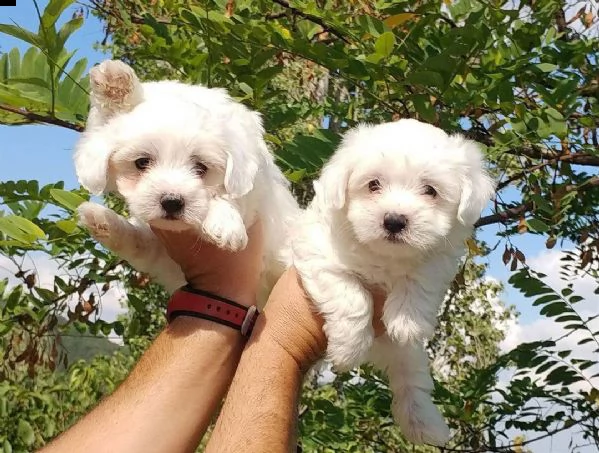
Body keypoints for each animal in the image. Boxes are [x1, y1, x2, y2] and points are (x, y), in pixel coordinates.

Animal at [75, 60, 300, 300]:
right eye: (142, 163)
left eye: (201, 168)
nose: (172, 202)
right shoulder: (160, 254)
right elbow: (138, 242)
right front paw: (103, 220)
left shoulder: (257, 190)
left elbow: (236, 197)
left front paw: (224, 223)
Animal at [292, 117, 494, 444]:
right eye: (373, 184)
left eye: (430, 190)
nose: (394, 220)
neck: (386, 257)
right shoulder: (317, 251)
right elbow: (352, 295)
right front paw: (349, 348)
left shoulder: (440, 258)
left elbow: (420, 279)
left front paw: (406, 320)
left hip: (408, 356)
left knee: (411, 382)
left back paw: (427, 425)